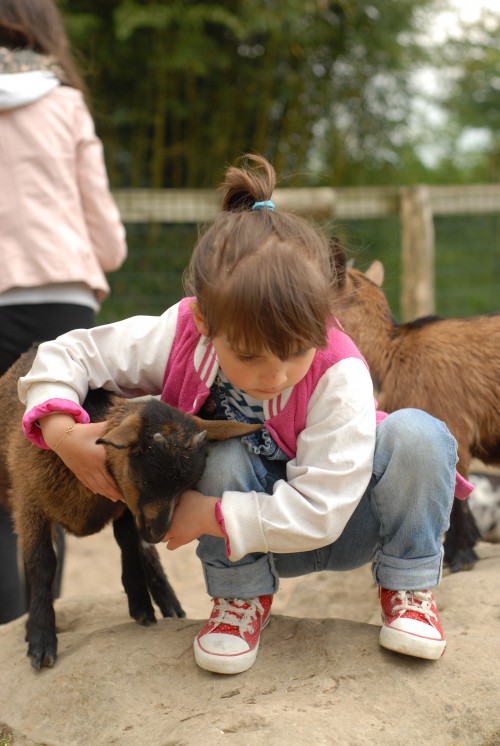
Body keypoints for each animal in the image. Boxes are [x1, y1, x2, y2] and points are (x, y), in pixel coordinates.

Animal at [2, 346, 262, 664]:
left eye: (187, 486)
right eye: (142, 476)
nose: (159, 532)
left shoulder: (125, 508)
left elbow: (130, 546)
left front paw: (140, 604)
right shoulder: (30, 505)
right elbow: (41, 564)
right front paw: (40, 639)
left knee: (145, 550)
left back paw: (170, 605)